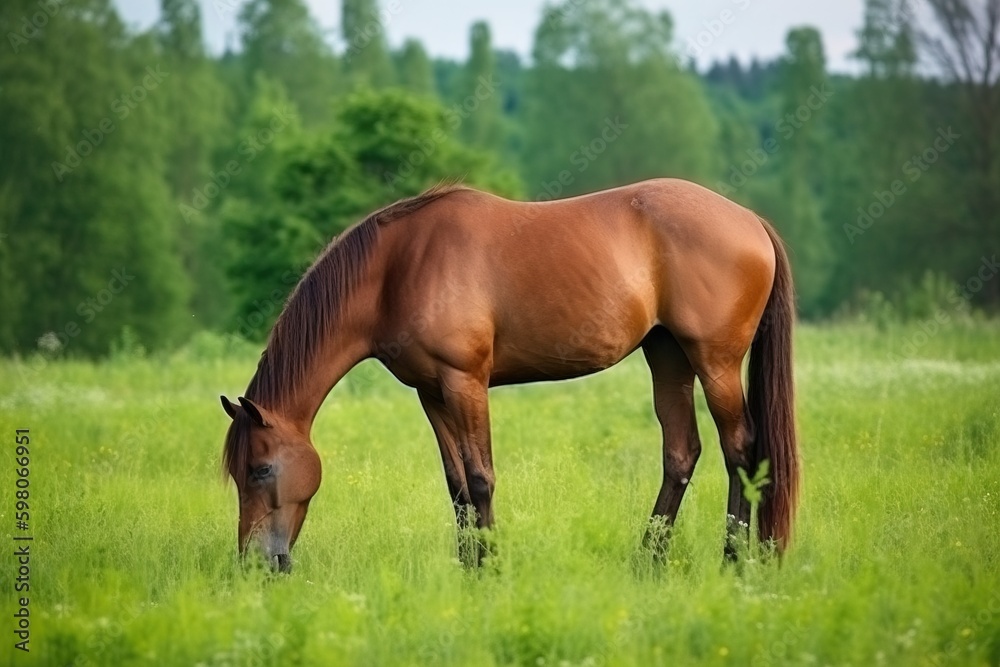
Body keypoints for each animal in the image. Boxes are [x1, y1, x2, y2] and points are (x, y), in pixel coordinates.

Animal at [220, 178, 800, 573]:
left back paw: (733, 561)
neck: (397, 269)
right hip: (668, 356)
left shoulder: (465, 382)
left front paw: (492, 567)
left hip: (715, 361)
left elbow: (481, 478)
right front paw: (468, 566)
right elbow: (456, 484)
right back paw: (649, 560)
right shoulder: (431, 392)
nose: (255, 564)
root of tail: (749, 220)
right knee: (681, 453)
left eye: (260, 470)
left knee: (741, 451)